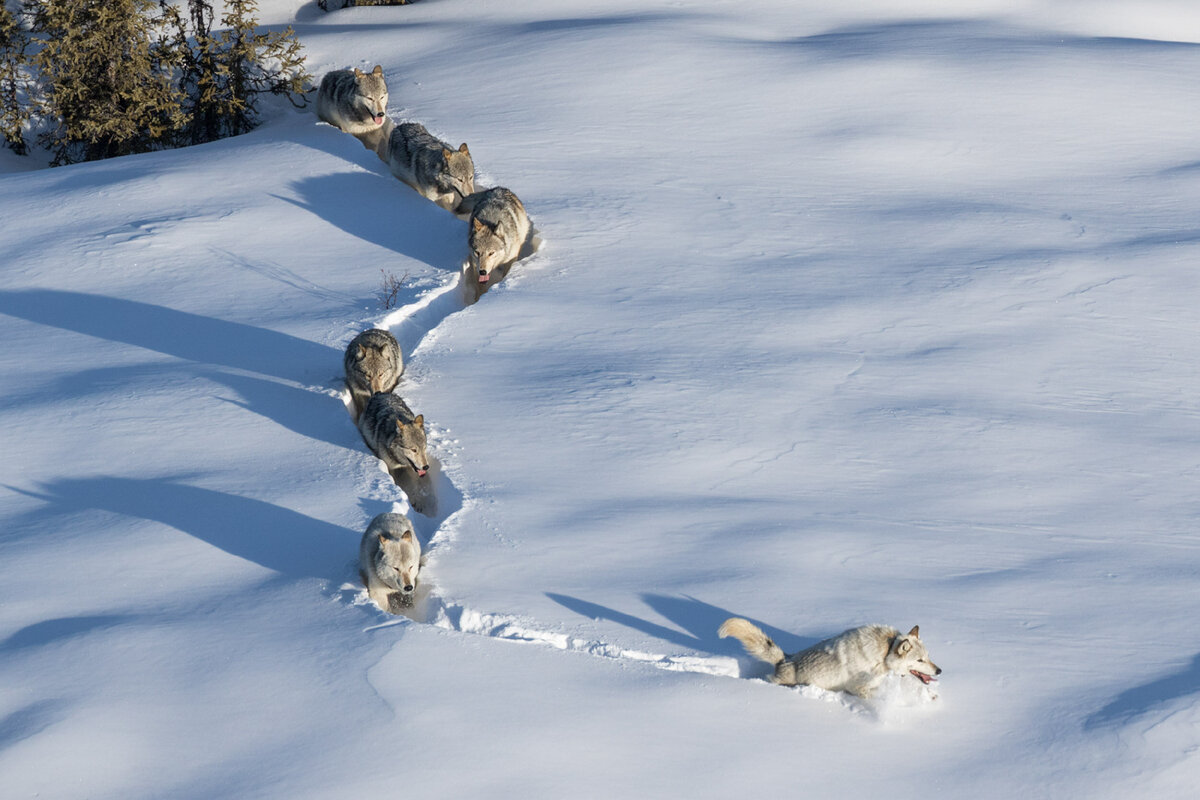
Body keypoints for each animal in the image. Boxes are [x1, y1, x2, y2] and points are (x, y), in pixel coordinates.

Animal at [715, 618, 940, 695]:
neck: (884, 653)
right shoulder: (857, 688)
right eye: (919, 660)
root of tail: (784, 658)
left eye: (928, 657)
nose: (939, 670)